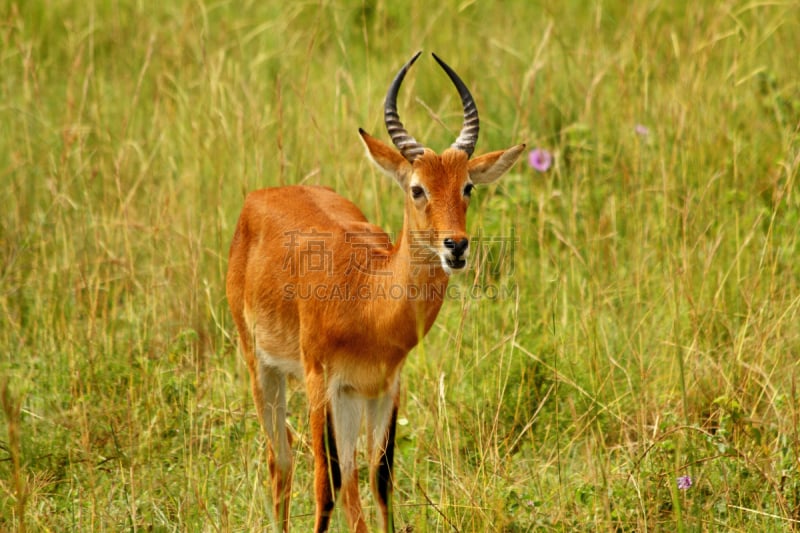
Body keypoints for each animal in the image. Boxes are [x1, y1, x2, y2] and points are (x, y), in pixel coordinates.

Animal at [225, 51, 524, 532]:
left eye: (467, 186)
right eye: (417, 187)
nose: (456, 246)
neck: (367, 298)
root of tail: (260, 196)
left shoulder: (385, 387)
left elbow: (379, 480)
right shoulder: (320, 383)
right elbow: (324, 485)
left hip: (349, 399)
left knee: (349, 478)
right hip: (262, 366)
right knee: (282, 461)